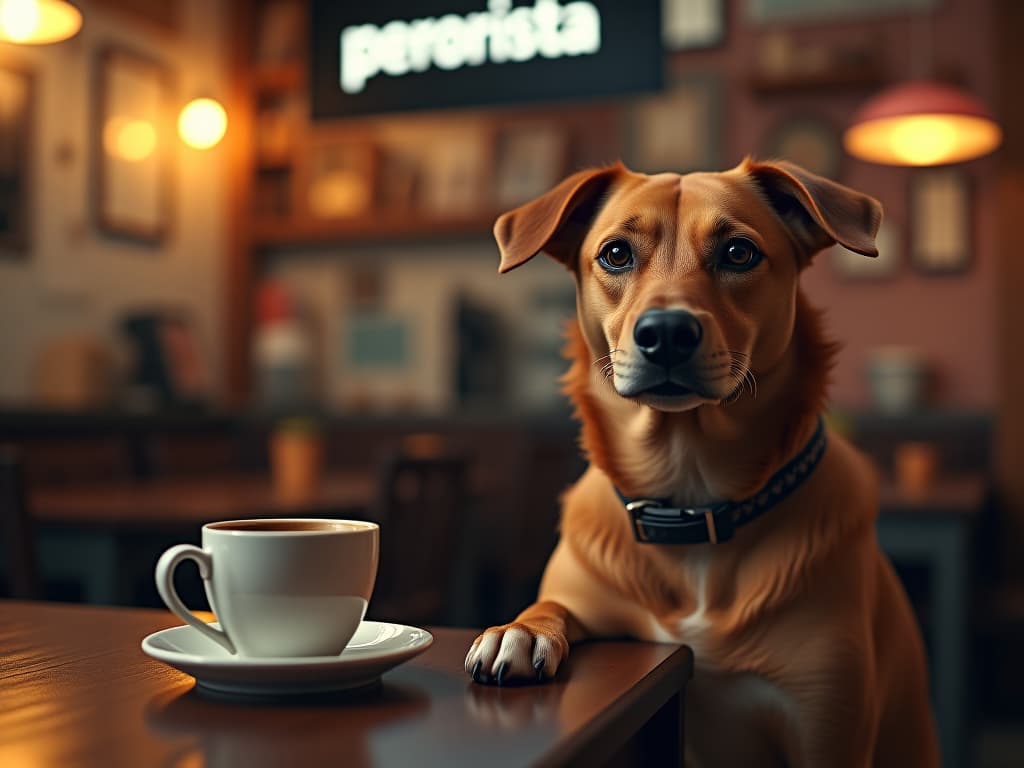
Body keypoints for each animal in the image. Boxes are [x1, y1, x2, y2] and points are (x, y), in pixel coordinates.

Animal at [468, 159, 937, 765]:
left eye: (738, 252)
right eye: (615, 254)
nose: (666, 333)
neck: (689, 498)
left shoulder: (827, 720)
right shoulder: (580, 594)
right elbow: (548, 604)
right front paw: (519, 629)